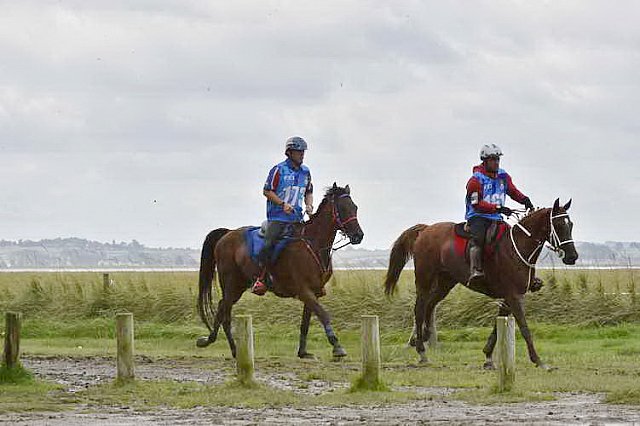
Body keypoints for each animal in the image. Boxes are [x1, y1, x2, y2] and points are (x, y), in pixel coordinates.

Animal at [195, 184, 364, 360]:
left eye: (355, 207)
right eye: (342, 208)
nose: (358, 236)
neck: (314, 244)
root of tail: (227, 233)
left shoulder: (314, 292)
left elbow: (305, 323)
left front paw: (303, 352)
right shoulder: (304, 291)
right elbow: (323, 314)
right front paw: (337, 346)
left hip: (238, 286)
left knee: (222, 308)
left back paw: (215, 343)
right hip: (231, 284)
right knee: (224, 311)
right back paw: (228, 347)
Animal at [384, 200, 580, 370]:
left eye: (570, 225)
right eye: (559, 225)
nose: (572, 257)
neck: (518, 248)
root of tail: (425, 230)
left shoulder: (508, 298)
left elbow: (497, 327)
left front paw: (488, 357)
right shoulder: (514, 296)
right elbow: (524, 328)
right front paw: (538, 361)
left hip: (446, 282)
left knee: (430, 305)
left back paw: (422, 337)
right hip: (425, 279)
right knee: (419, 309)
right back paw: (421, 350)